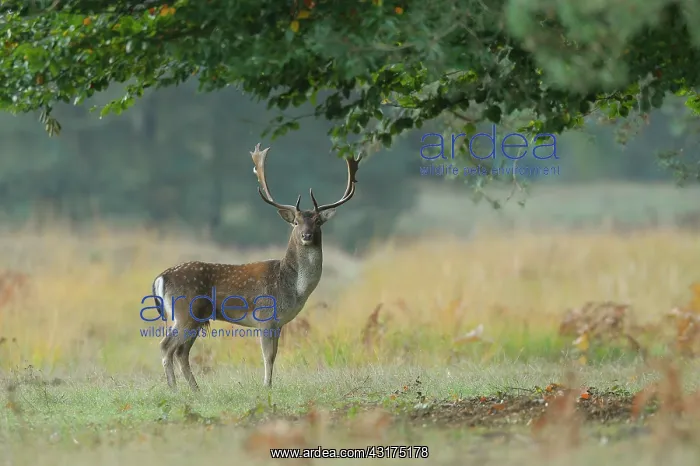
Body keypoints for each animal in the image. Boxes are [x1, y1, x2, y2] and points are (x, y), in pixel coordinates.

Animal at [150, 143, 360, 391]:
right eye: (296, 222)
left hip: (193, 318)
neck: (292, 286)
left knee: (181, 351)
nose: (306, 235)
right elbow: (268, 356)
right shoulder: (266, 316)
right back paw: (174, 389)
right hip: (184, 312)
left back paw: (195, 391)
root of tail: (160, 278)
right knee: (166, 346)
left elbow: (274, 355)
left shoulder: (278, 323)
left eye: (317, 221)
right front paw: (266, 387)